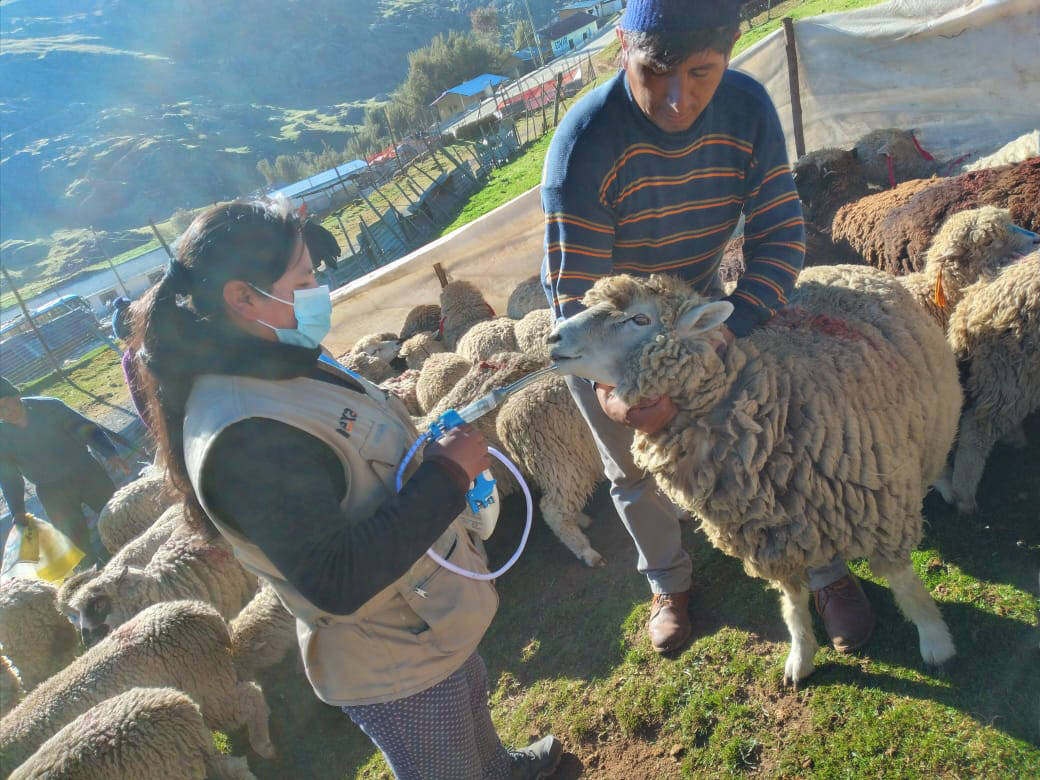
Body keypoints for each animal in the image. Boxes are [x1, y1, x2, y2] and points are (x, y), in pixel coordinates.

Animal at [549, 266, 960, 682]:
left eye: (639, 319)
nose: (554, 338)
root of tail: (838, 267)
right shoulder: (770, 537)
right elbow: (793, 603)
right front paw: (801, 656)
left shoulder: (883, 513)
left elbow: (904, 584)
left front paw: (935, 641)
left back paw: (946, 485)